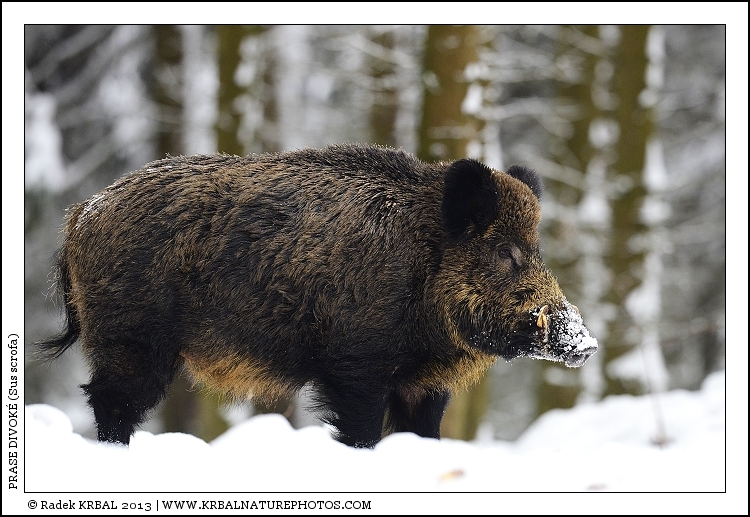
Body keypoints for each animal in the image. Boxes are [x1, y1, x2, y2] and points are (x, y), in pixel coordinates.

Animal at [37, 143, 597, 448]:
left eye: (537, 249)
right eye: (505, 252)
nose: (586, 343)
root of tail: (81, 213)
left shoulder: (421, 384)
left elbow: (422, 434)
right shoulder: (356, 363)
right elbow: (362, 431)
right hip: (130, 337)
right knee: (111, 401)